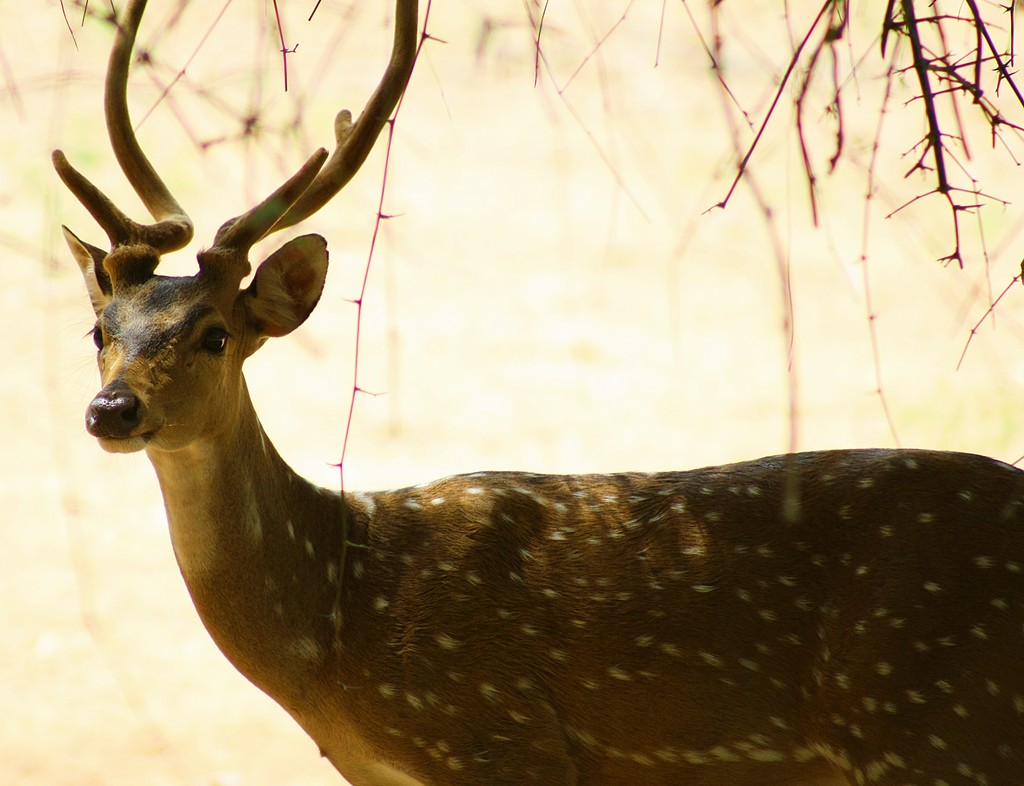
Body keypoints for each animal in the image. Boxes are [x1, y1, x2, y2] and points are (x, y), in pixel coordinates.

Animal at [56, 1, 1024, 786]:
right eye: (100, 330)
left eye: (215, 334)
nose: (112, 411)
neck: (337, 623)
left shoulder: (503, 739)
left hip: (934, 724)